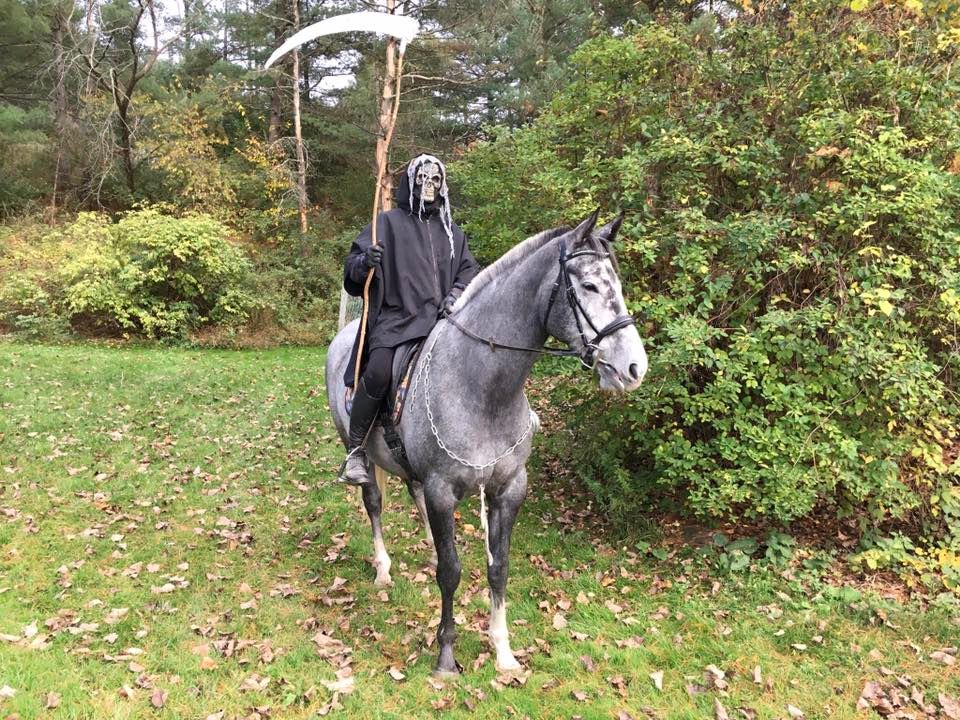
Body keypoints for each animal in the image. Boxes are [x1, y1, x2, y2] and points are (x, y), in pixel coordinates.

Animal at [325, 209, 647, 676]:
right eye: (588, 285)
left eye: (617, 285)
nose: (634, 367)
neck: (480, 387)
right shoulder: (443, 490)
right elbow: (451, 572)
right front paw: (446, 655)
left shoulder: (508, 489)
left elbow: (499, 569)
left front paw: (503, 651)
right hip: (362, 454)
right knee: (374, 503)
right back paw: (383, 567)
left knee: (412, 491)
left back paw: (426, 544)